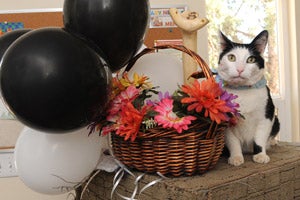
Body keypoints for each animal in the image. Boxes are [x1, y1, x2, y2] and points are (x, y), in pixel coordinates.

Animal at [218, 30, 278, 166]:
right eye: (231, 57)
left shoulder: (266, 116)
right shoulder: (227, 121)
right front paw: (236, 157)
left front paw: (260, 155)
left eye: (251, 59)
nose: (240, 69)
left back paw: (273, 142)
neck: (243, 91)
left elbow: (260, 138)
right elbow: (233, 141)